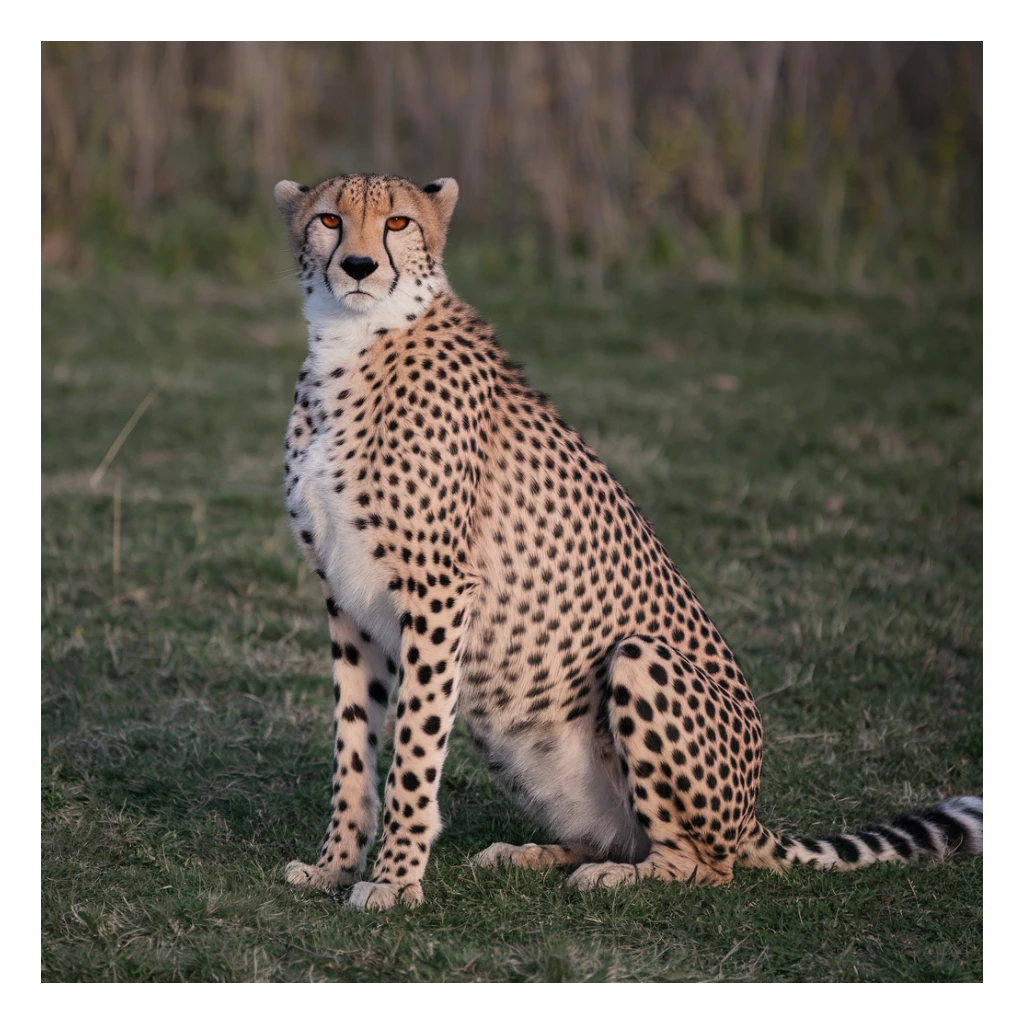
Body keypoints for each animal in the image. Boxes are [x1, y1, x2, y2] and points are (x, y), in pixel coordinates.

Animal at [273, 171, 982, 911]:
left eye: (399, 223)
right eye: (329, 219)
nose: (359, 266)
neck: (348, 342)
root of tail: (753, 816)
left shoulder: (437, 591)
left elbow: (412, 749)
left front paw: (393, 882)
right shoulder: (347, 599)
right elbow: (354, 747)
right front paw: (333, 867)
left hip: (640, 659)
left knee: (702, 863)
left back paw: (613, 877)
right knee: (617, 834)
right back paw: (528, 855)